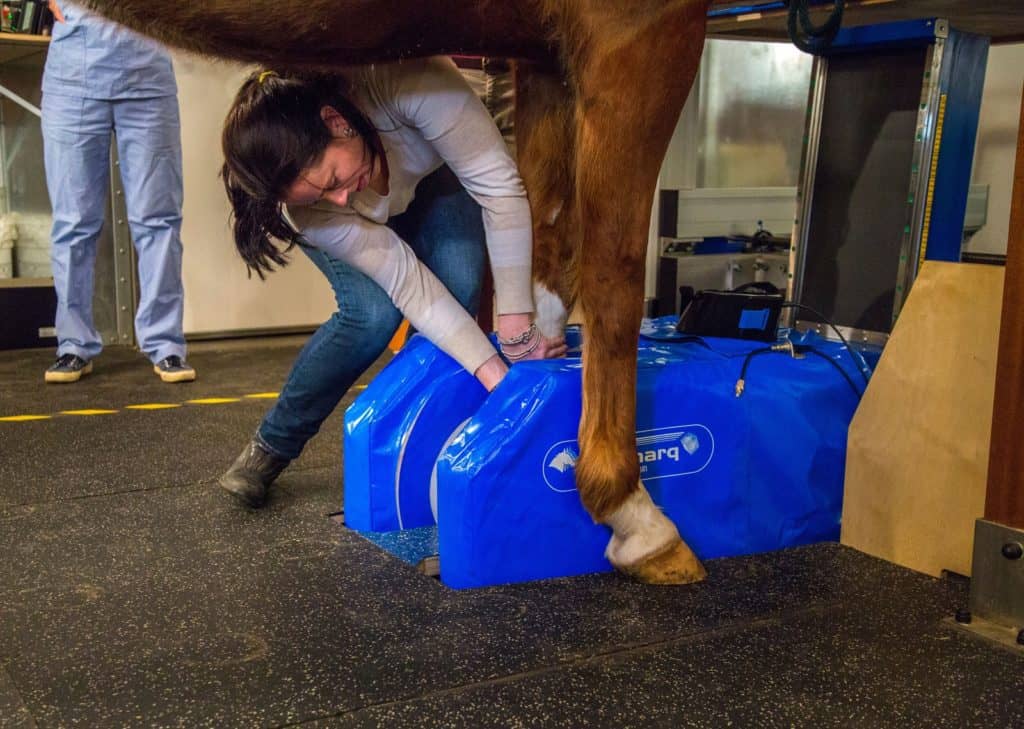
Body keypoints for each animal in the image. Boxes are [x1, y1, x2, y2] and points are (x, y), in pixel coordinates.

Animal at [80, 0, 717, 584]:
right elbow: (614, 274)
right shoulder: (636, 27)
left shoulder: (544, 52)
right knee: (374, 312)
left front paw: (539, 356)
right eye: (334, 185)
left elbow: (545, 230)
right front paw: (632, 513)